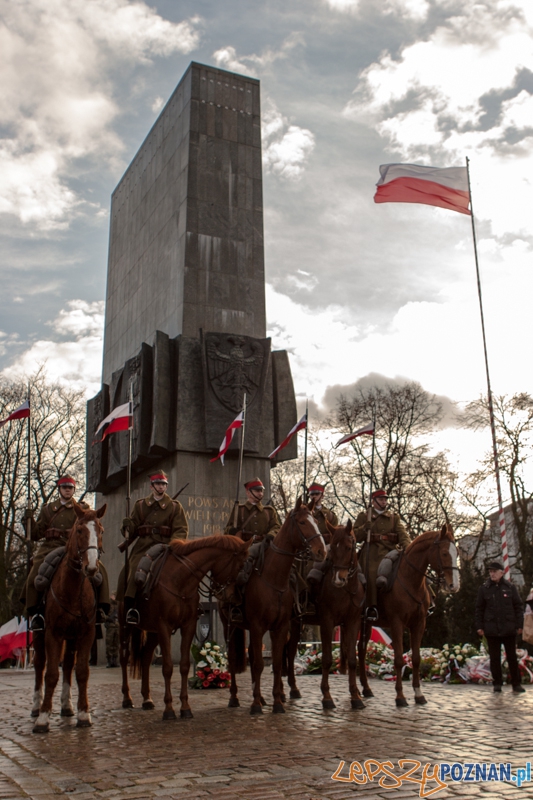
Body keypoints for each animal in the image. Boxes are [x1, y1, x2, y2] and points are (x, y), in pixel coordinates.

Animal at [31, 504, 107, 736]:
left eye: (101, 530)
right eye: (80, 530)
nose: (91, 568)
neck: (73, 590)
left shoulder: (86, 634)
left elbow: (81, 671)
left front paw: (84, 713)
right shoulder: (53, 634)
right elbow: (51, 674)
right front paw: (43, 718)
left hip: (72, 637)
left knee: (68, 665)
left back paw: (66, 705)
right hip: (38, 634)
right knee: (40, 665)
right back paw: (36, 706)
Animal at [120, 536, 249, 720]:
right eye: (240, 566)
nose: (236, 598)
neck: (181, 581)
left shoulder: (188, 626)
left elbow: (184, 666)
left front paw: (185, 707)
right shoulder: (164, 626)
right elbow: (167, 667)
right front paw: (169, 709)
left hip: (153, 632)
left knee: (145, 658)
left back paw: (147, 699)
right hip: (126, 626)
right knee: (124, 658)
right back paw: (127, 698)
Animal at [220, 496, 324, 716]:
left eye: (316, 522)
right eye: (302, 522)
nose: (322, 551)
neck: (274, 577)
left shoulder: (280, 627)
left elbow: (276, 663)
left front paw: (277, 702)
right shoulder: (258, 626)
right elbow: (259, 664)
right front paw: (255, 705)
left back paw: (262, 696)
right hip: (229, 624)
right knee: (233, 659)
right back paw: (234, 697)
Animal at [282, 520, 366, 708]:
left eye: (349, 547)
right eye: (332, 548)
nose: (339, 579)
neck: (345, 591)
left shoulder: (353, 622)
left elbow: (352, 659)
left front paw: (355, 696)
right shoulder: (327, 622)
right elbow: (327, 659)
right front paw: (327, 696)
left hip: (296, 623)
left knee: (290, 651)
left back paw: (293, 688)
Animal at [356, 524, 460, 708]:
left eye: (457, 553)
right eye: (444, 553)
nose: (454, 585)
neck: (411, 580)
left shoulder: (419, 624)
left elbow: (416, 659)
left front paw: (418, 694)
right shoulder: (397, 623)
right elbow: (398, 659)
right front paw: (400, 696)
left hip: (366, 624)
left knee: (361, 651)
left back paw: (366, 689)